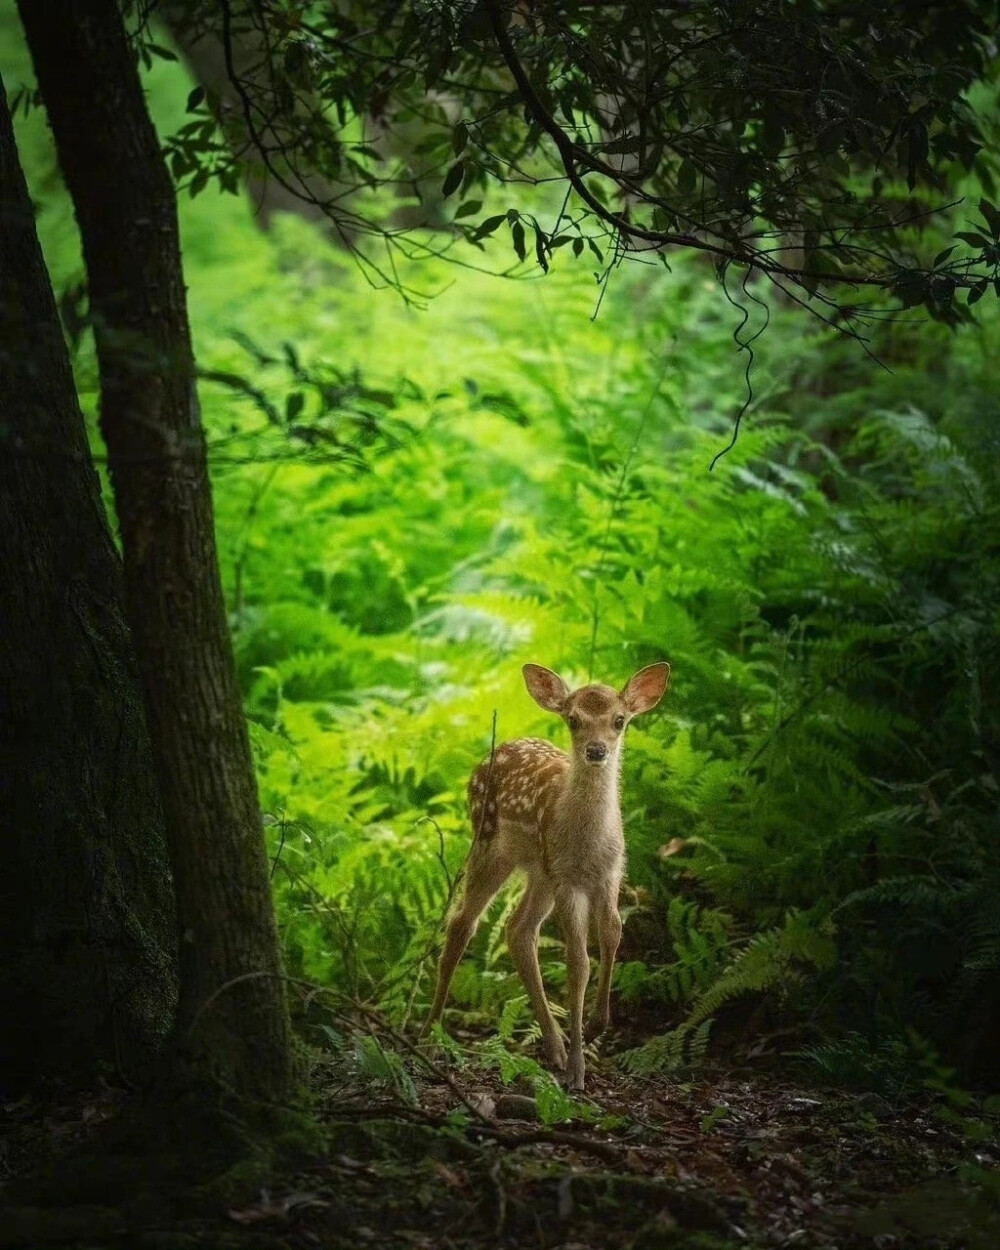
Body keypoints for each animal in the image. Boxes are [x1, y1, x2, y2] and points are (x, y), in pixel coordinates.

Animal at [425, 660, 670, 1090]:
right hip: (491, 847)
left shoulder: (610, 874)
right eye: (573, 720)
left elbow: (613, 934)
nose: (596, 750)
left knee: (518, 929)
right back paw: (431, 1036)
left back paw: (553, 1047)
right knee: (462, 924)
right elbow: (578, 962)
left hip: (540, 871)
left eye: (619, 720)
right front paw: (578, 1069)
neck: (587, 845)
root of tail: (487, 758)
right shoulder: (568, 881)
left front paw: (594, 1027)